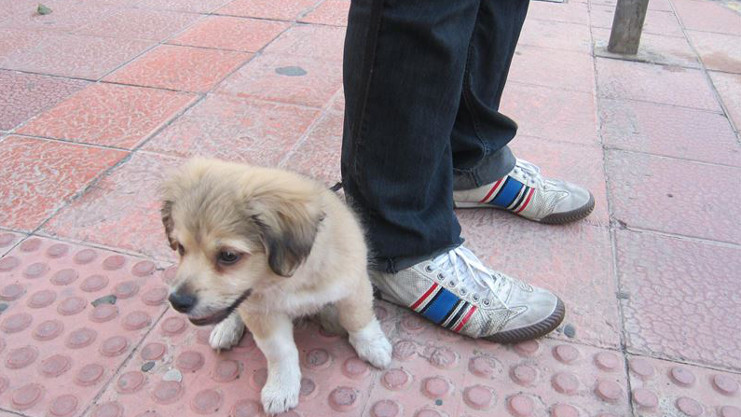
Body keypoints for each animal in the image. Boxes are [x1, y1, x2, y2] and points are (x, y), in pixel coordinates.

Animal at [161, 158, 394, 414]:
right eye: (181, 248)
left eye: (229, 256)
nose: (177, 301)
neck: (289, 280)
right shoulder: (261, 313)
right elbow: (280, 352)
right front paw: (281, 388)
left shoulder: (354, 285)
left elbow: (358, 320)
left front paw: (373, 346)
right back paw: (226, 328)